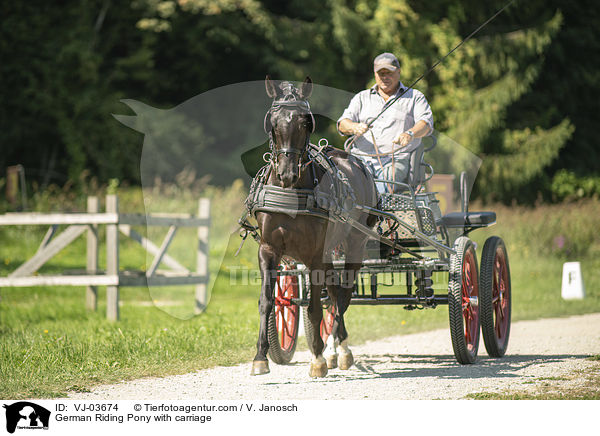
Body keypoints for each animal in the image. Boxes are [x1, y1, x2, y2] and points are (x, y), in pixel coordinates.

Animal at [252, 76, 376, 376]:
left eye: (306, 122)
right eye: (273, 122)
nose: (286, 173)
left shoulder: (315, 254)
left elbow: (316, 308)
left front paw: (318, 358)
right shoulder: (268, 249)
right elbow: (267, 301)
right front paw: (261, 357)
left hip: (354, 243)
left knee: (342, 295)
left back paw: (338, 350)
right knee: (334, 293)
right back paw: (335, 349)